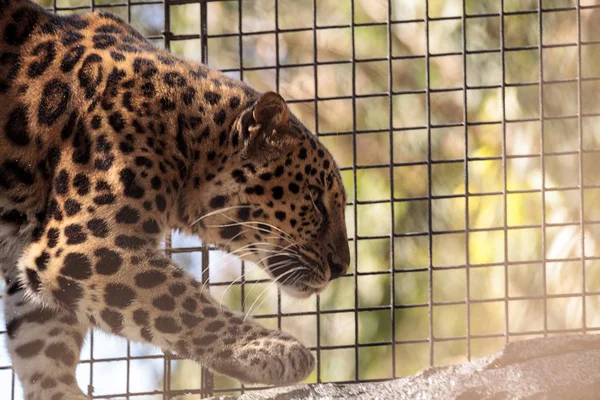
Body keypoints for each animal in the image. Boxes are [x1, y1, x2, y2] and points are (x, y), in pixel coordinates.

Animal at [0, 0, 352, 398]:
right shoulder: (85, 247)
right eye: (317, 200)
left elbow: (42, 347)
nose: (342, 267)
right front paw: (270, 350)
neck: (190, 131)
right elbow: (183, 303)